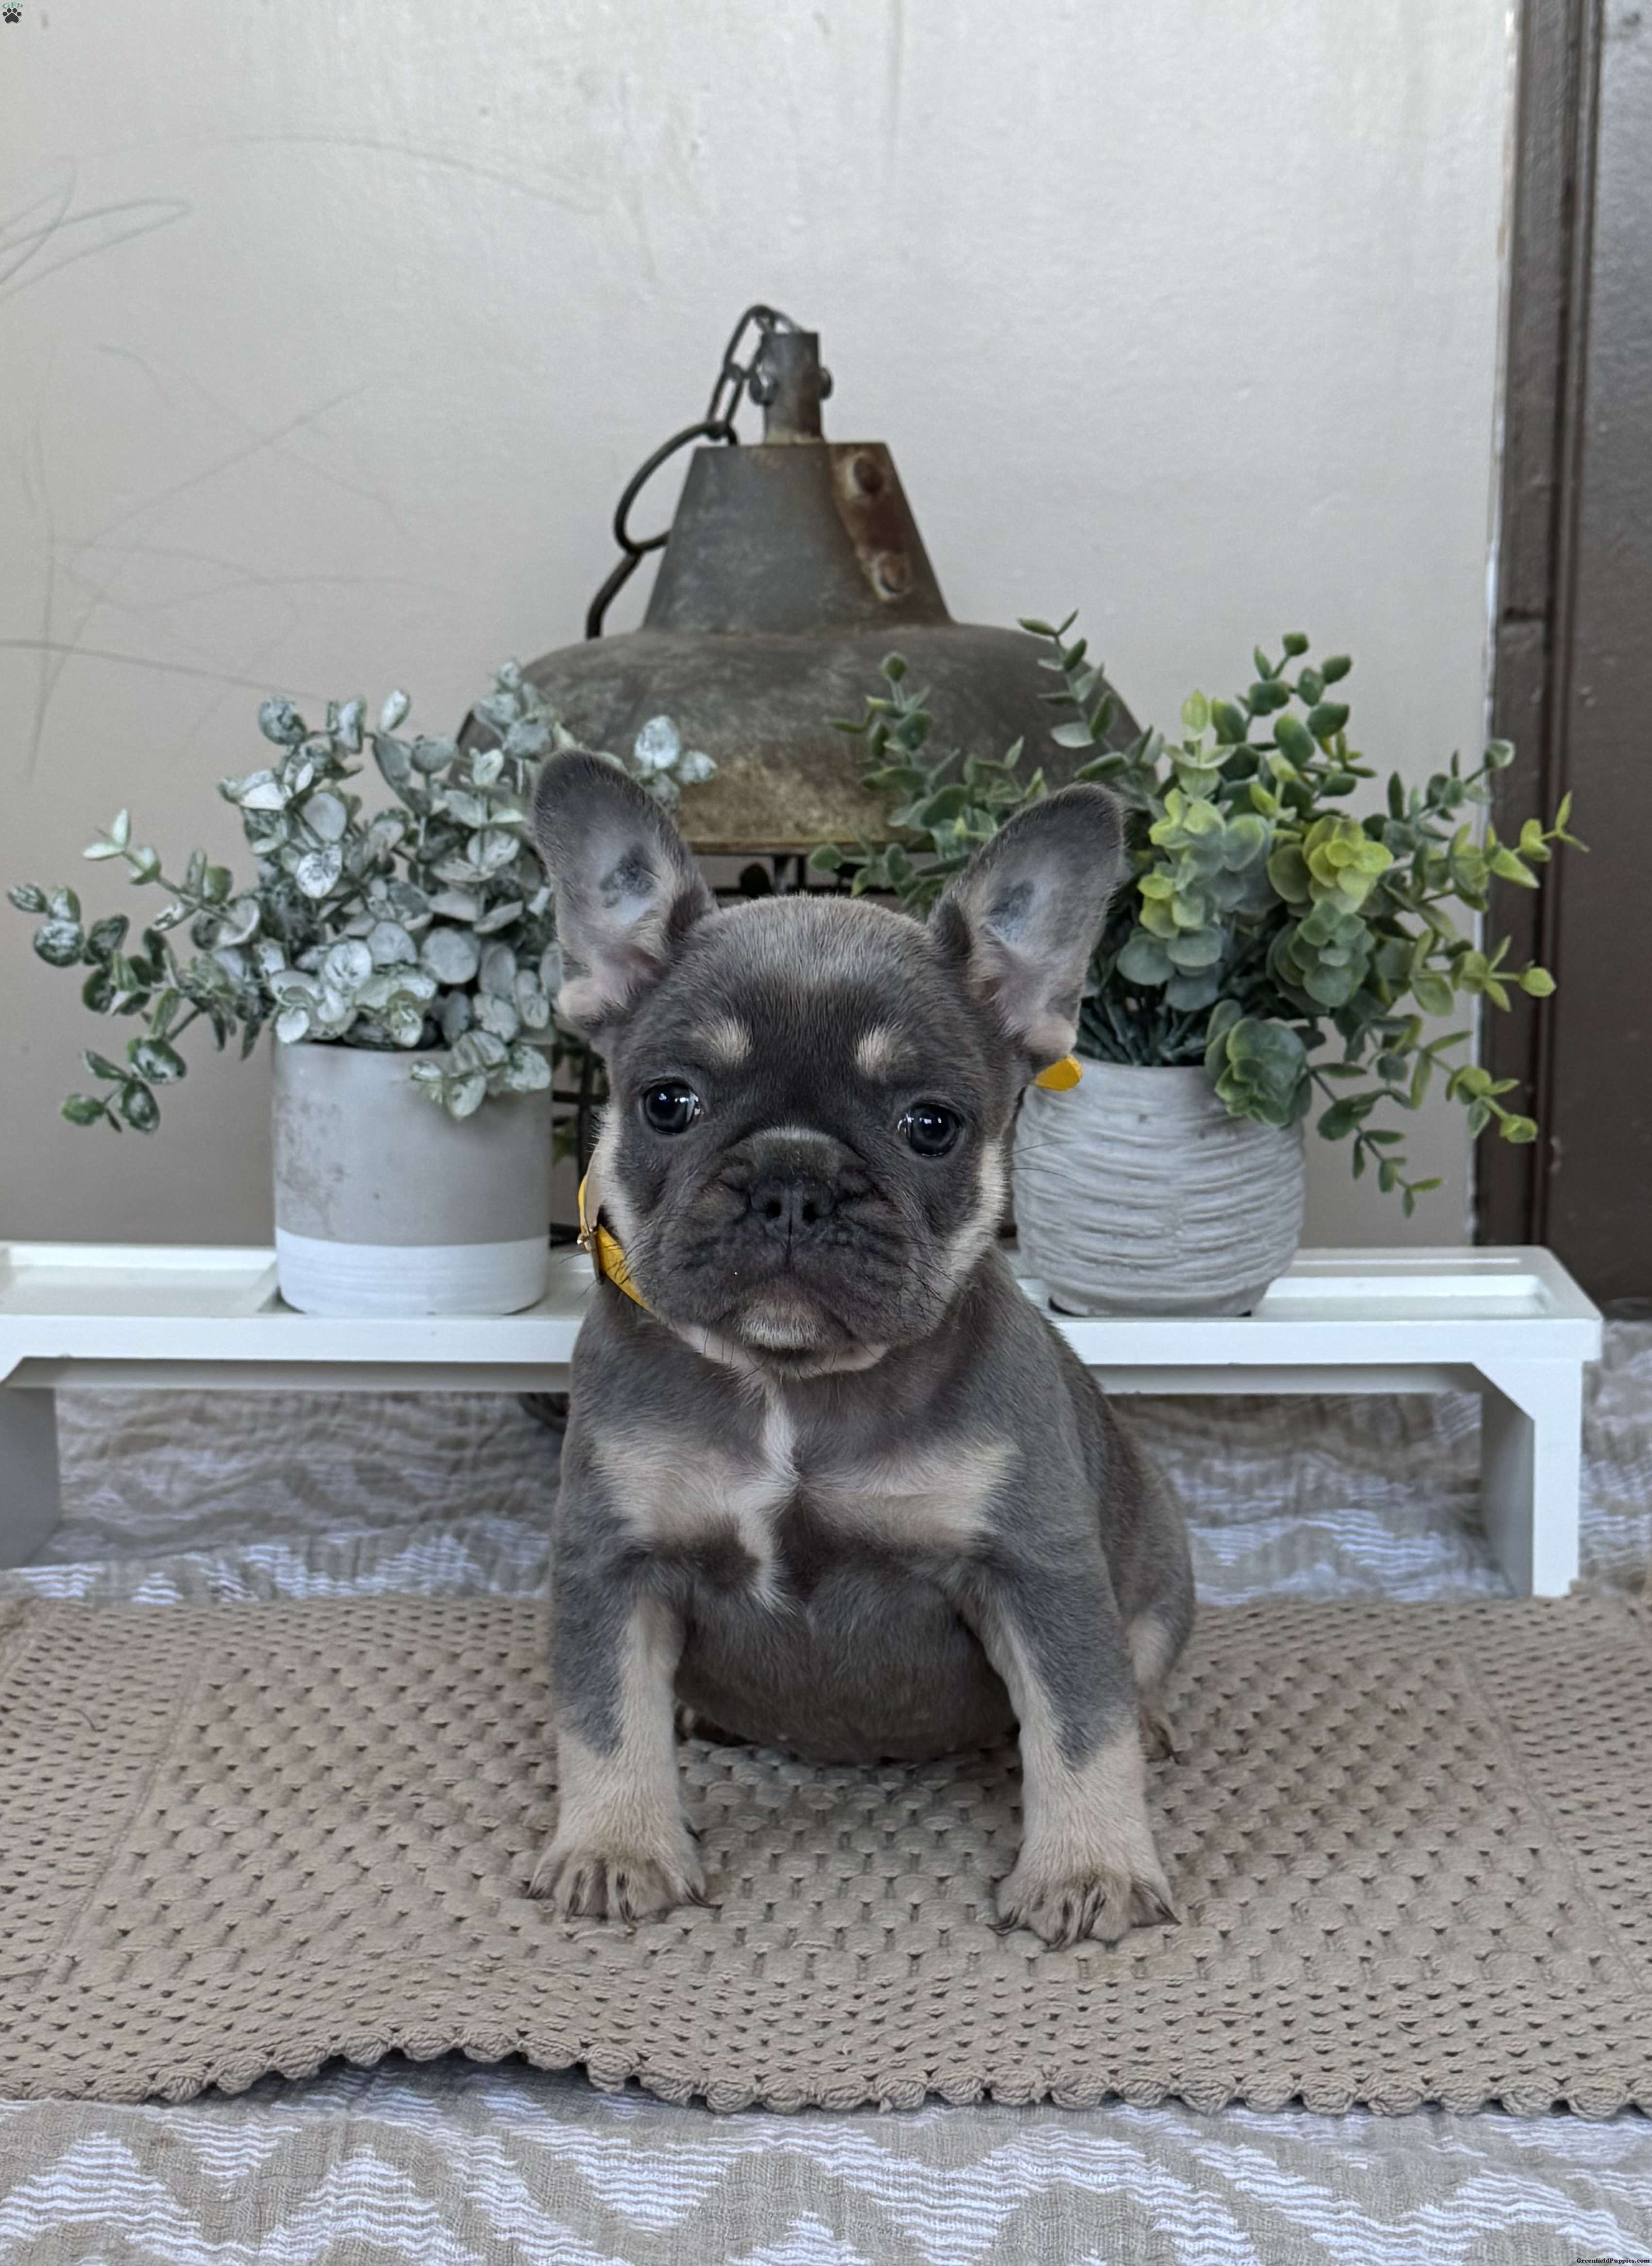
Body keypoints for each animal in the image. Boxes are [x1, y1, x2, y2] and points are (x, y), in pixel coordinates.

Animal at [526, 750, 1194, 1948]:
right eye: (667, 1102)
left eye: (931, 1123)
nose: (795, 1179)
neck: (793, 1389)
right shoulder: (613, 1561)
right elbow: (603, 1716)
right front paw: (617, 1845)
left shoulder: (1037, 1571)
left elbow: (1082, 1723)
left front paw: (1089, 1866)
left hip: (1159, 1560)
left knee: (1137, 1672)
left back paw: (1154, 1717)